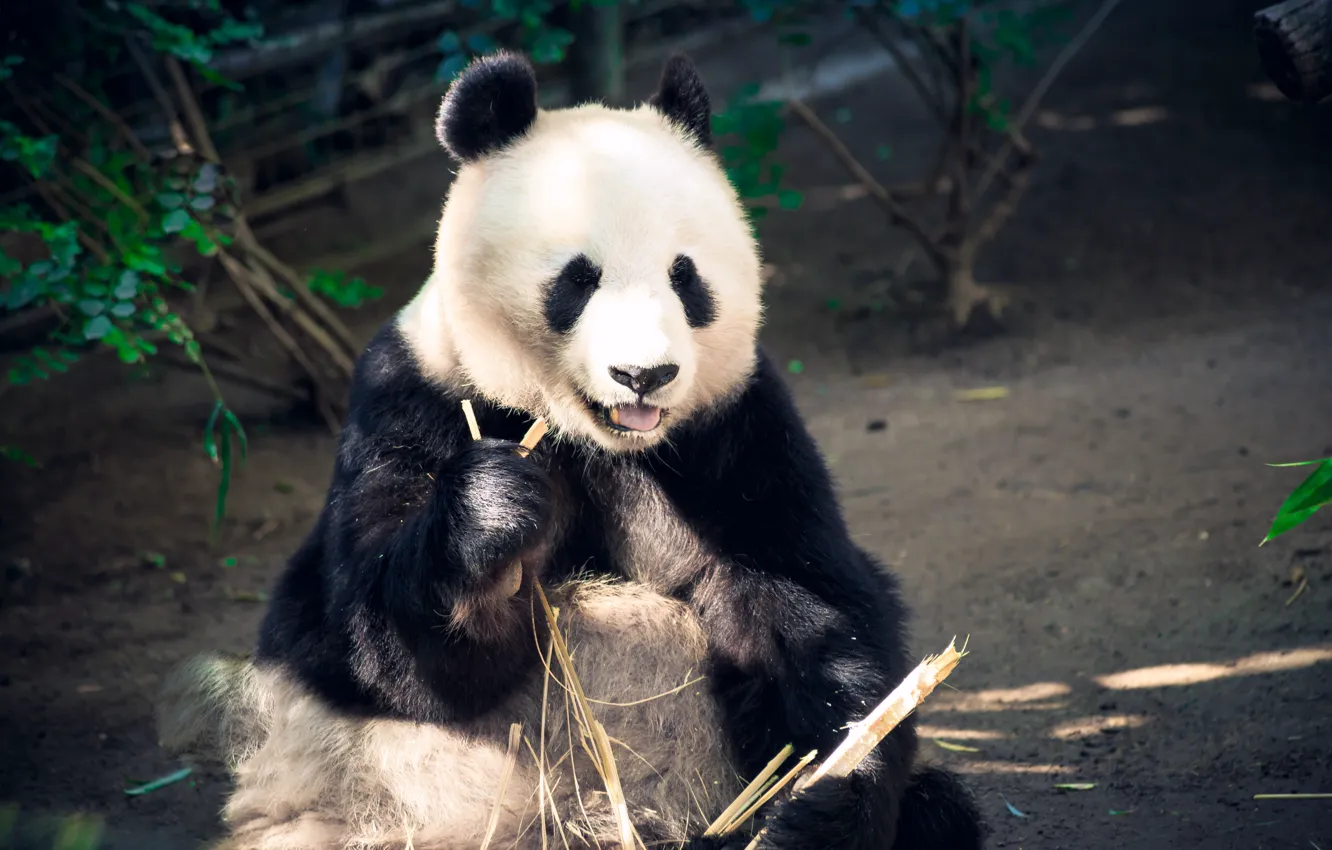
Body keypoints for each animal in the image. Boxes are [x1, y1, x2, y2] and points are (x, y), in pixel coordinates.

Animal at [156, 51, 987, 850]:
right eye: (577, 280)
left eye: (685, 277)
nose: (643, 374)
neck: (595, 440)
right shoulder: (407, 397)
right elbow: (377, 646)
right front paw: (492, 514)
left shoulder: (737, 429)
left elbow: (812, 604)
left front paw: (824, 798)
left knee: (941, 813)